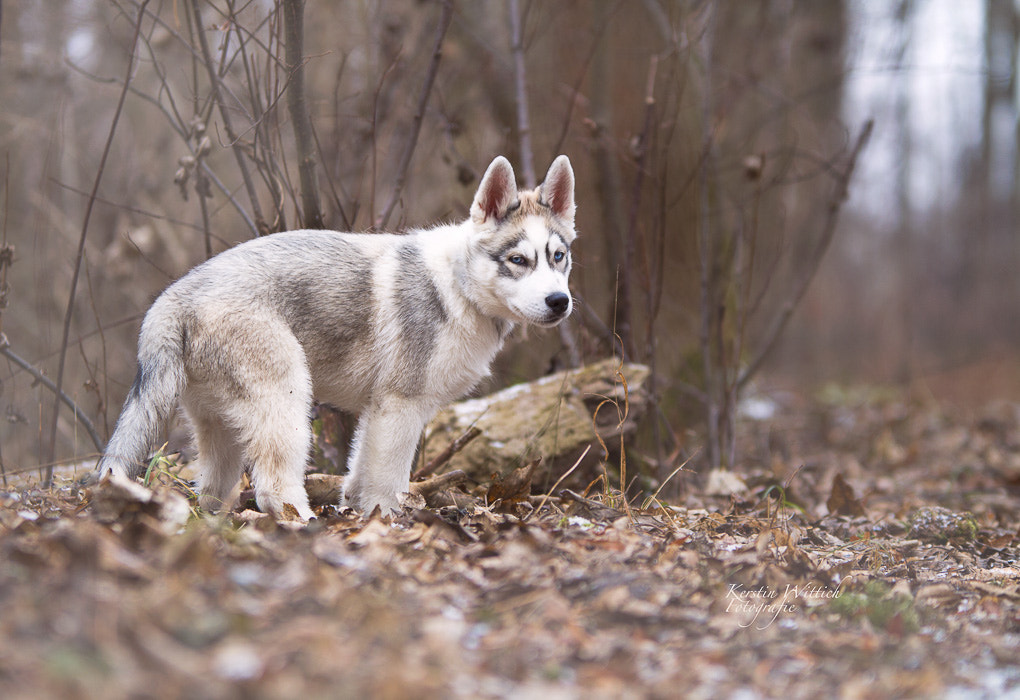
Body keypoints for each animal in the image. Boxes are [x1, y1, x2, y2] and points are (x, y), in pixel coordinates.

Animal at [96, 159, 579, 520]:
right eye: (518, 260)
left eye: (559, 257)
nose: (560, 302)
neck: (458, 287)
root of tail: (176, 296)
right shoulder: (401, 407)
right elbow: (388, 485)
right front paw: (388, 526)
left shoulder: (377, 411)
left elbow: (359, 477)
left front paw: (358, 515)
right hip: (288, 402)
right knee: (273, 488)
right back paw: (305, 525)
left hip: (221, 429)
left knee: (212, 492)